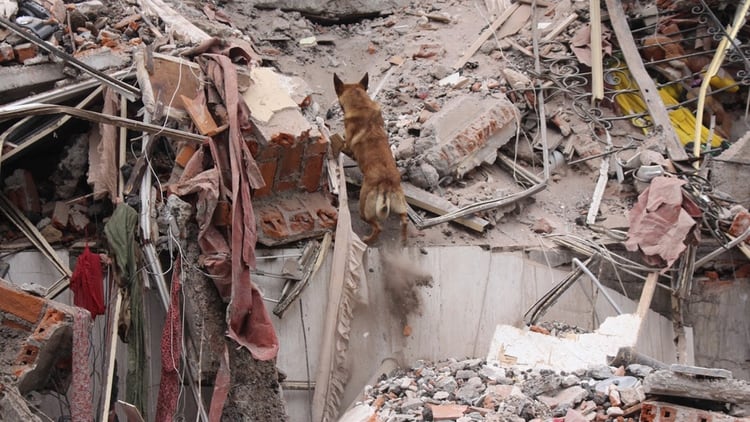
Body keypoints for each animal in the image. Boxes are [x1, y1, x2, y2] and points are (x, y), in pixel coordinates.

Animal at [332, 72, 408, 244]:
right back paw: (403, 239)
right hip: (400, 204)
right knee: (405, 219)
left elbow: (341, 141)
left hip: (364, 207)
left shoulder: (348, 147)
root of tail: (386, 183)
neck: (360, 103)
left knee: (378, 227)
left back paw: (367, 239)